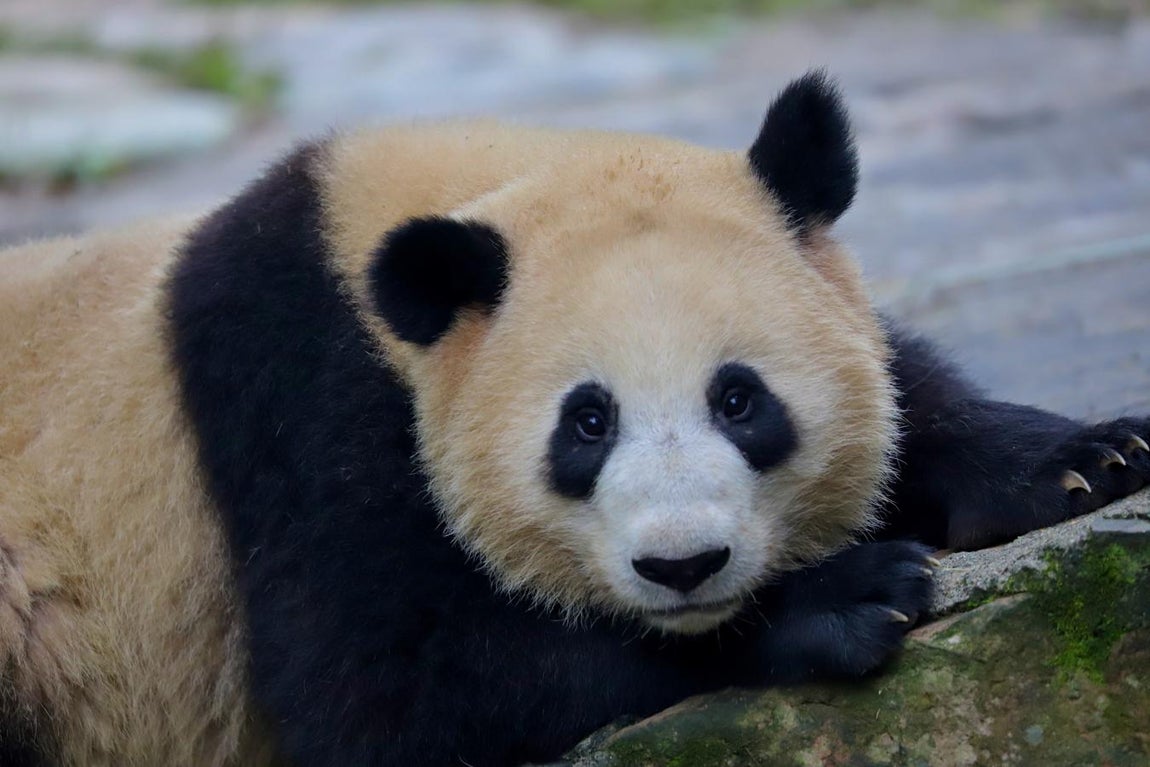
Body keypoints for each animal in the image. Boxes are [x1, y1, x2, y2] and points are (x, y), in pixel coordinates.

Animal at [1, 71, 1147, 767]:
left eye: (740, 399)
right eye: (585, 424)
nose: (683, 565)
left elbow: (910, 389)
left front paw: (1081, 457)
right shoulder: (292, 410)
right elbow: (390, 692)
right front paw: (841, 595)